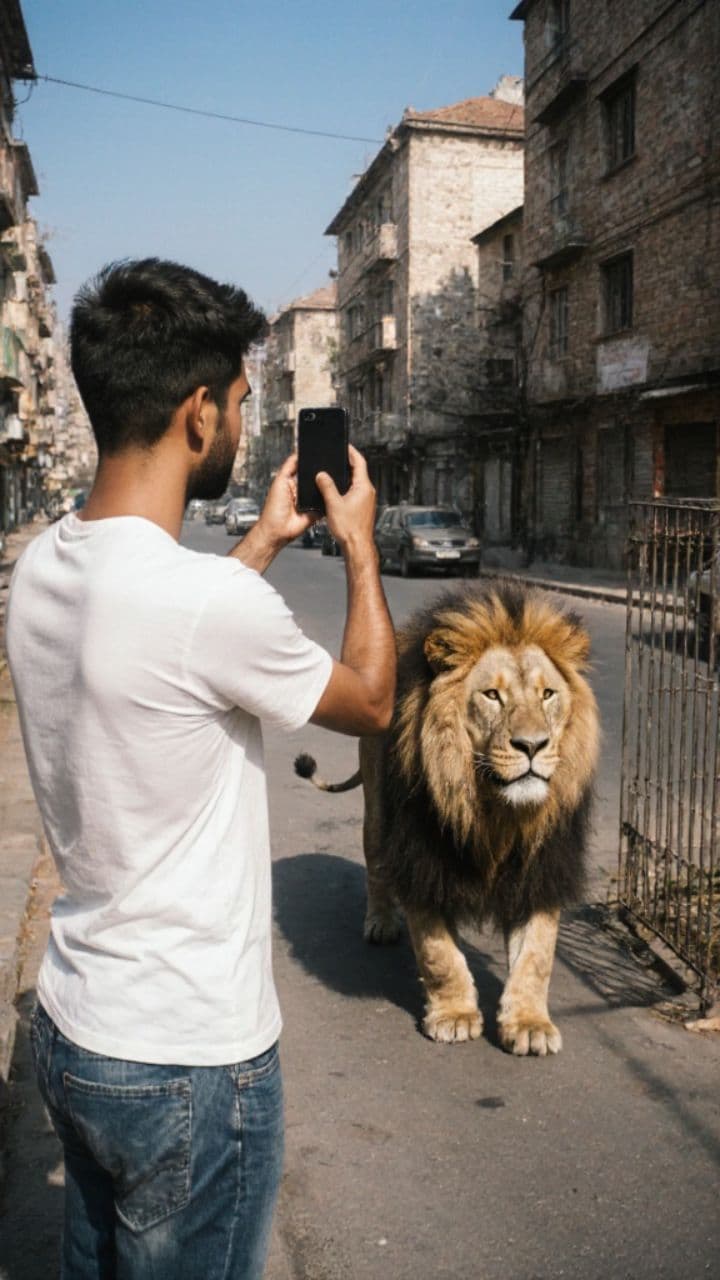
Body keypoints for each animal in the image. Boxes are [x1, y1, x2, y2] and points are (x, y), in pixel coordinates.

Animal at [294, 580, 599, 1056]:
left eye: (547, 694)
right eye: (492, 695)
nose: (533, 745)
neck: (495, 811)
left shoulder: (542, 864)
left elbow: (537, 954)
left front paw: (529, 1023)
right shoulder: (421, 859)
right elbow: (438, 952)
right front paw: (455, 1015)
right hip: (377, 813)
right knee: (376, 865)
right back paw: (380, 922)